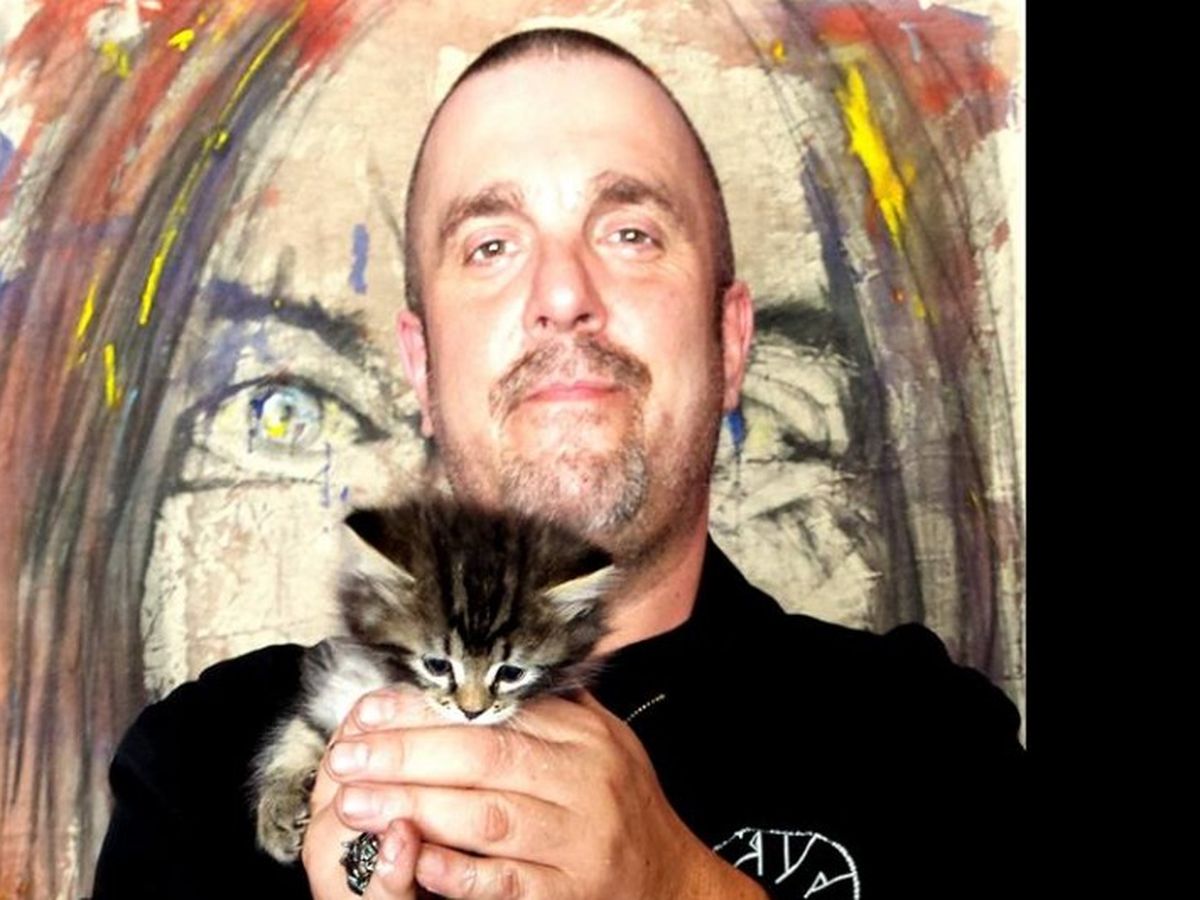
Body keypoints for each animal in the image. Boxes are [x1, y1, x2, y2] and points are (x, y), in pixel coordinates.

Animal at [252, 493, 619, 864]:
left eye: (511, 673)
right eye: (438, 665)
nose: (472, 711)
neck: (390, 677)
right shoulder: (336, 689)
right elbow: (299, 734)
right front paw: (277, 806)